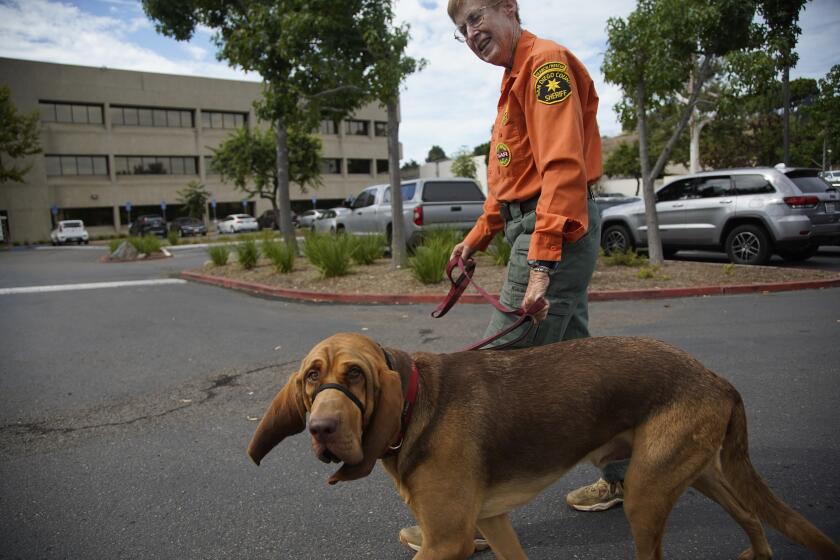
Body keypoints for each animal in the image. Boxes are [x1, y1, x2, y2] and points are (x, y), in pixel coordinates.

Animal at [246, 334, 836, 556]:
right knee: (753, 515)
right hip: (701, 473)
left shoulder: (448, 541)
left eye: (356, 376)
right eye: (311, 377)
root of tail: (716, 378)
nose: (321, 429)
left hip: (647, 494)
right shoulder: (491, 521)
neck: (417, 404)